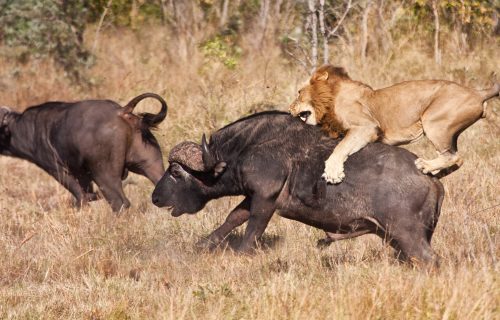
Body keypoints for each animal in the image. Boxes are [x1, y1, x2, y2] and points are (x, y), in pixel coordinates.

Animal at [0, 94, 168, 211]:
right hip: (150, 164)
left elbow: (80, 196)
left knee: (120, 203)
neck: (27, 128)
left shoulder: (58, 170)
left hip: (104, 174)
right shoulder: (83, 175)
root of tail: (121, 111)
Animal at [153, 111, 446, 266]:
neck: (247, 147)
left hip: (408, 235)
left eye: (176, 172)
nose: (155, 197)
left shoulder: (265, 199)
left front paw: (242, 254)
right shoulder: (251, 197)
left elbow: (253, 229)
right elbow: (233, 218)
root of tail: (432, 180)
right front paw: (204, 244)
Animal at [290, 64, 500, 184]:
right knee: (457, 158)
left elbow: (341, 147)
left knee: (454, 156)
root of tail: (478, 92)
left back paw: (425, 165)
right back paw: (433, 171)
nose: (290, 107)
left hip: (433, 122)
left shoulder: (367, 127)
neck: (330, 99)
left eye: (299, 92)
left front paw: (333, 173)